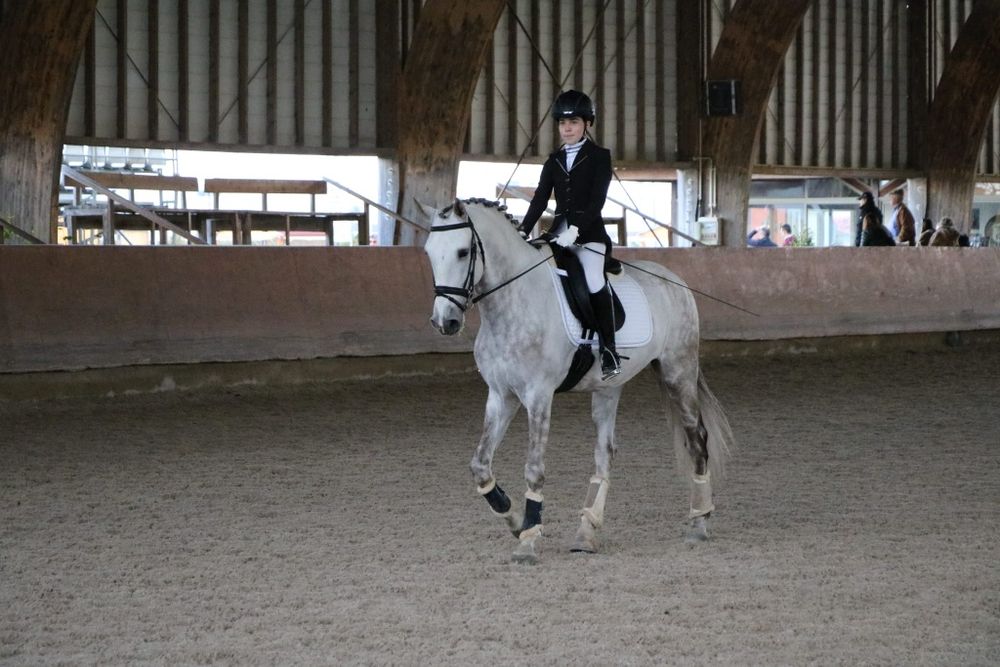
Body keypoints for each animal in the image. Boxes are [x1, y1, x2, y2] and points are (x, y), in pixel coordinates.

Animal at [422, 198, 734, 564]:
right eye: (429, 252)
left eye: (461, 252)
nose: (445, 321)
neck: (514, 301)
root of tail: (675, 281)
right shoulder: (501, 396)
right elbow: (480, 465)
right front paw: (515, 521)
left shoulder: (538, 396)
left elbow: (534, 468)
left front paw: (528, 540)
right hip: (608, 388)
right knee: (605, 453)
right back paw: (586, 533)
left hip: (678, 372)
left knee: (697, 439)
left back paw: (698, 524)